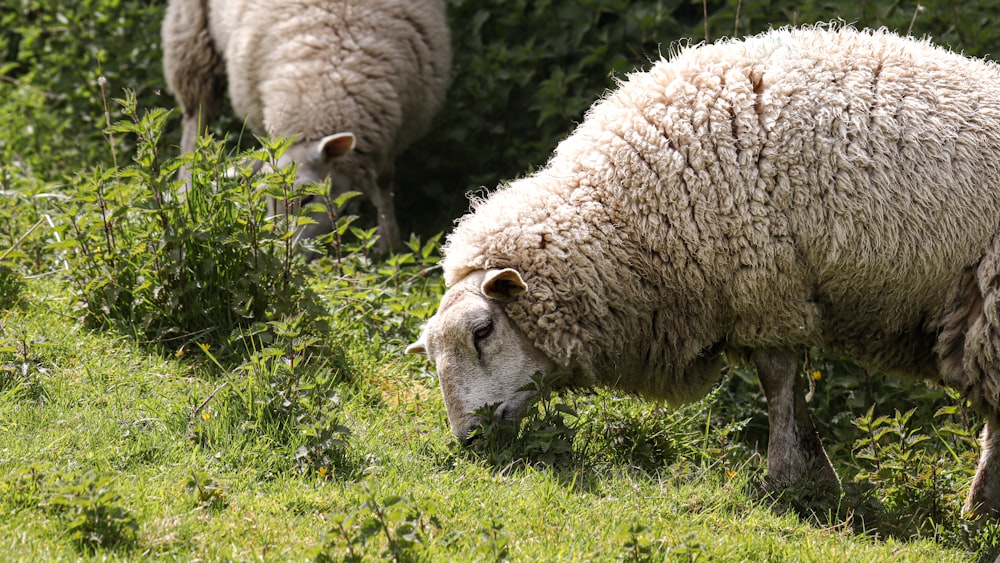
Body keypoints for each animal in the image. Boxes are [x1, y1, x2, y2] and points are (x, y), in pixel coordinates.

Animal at [162, 0, 452, 251]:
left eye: (306, 198)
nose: (283, 254)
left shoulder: (388, 138)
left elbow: (383, 183)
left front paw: (388, 242)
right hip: (191, 26)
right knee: (197, 110)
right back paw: (185, 186)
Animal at [406, 27, 1000, 520]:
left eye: (483, 332)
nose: (469, 442)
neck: (626, 214)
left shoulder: (765, 286)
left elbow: (778, 383)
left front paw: (787, 479)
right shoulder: (770, 294)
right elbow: (791, 392)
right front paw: (815, 479)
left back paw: (980, 510)